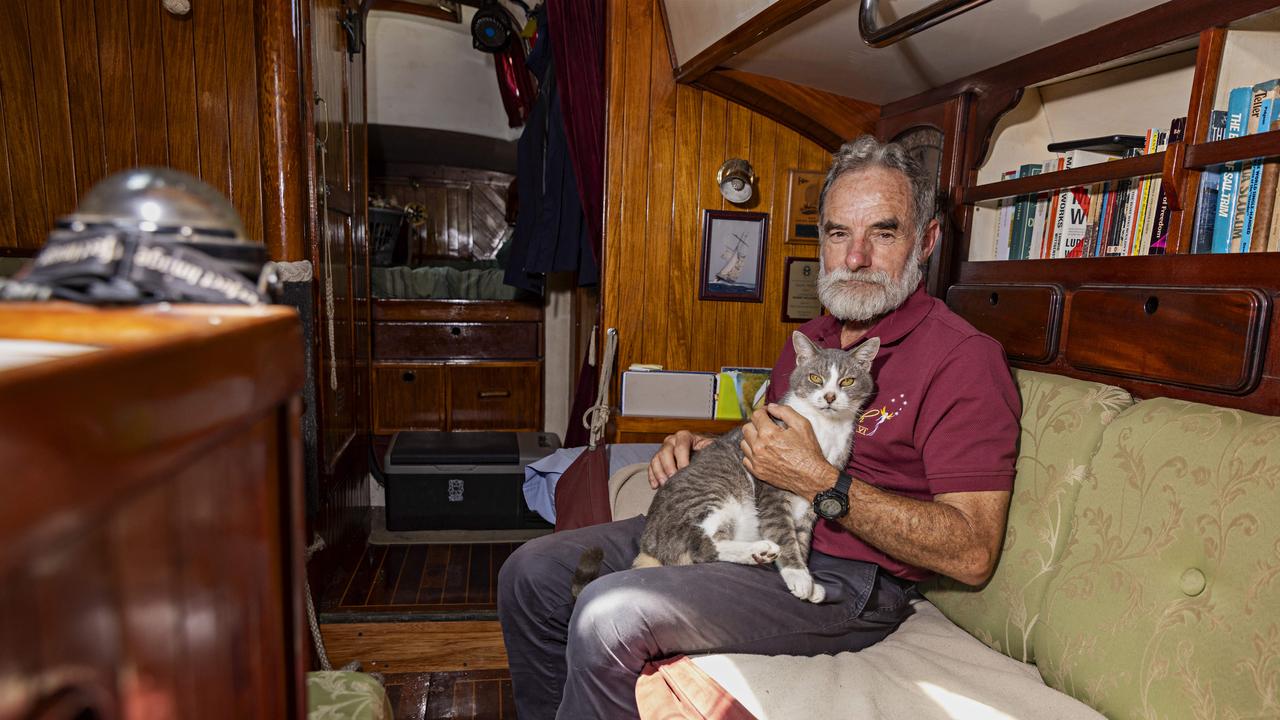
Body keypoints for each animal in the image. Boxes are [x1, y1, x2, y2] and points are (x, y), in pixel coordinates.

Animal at [624, 330, 875, 599]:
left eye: (847, 381)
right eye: (815, 378)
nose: (830, 397)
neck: (825, 426)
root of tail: (649, 544)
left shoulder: (811, 500)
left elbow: (802, 540)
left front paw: (809, 581)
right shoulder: (773, 488)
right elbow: (783, 532)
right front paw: (798, 575)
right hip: (715, 493)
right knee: (700, 547)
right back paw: (759, 549)